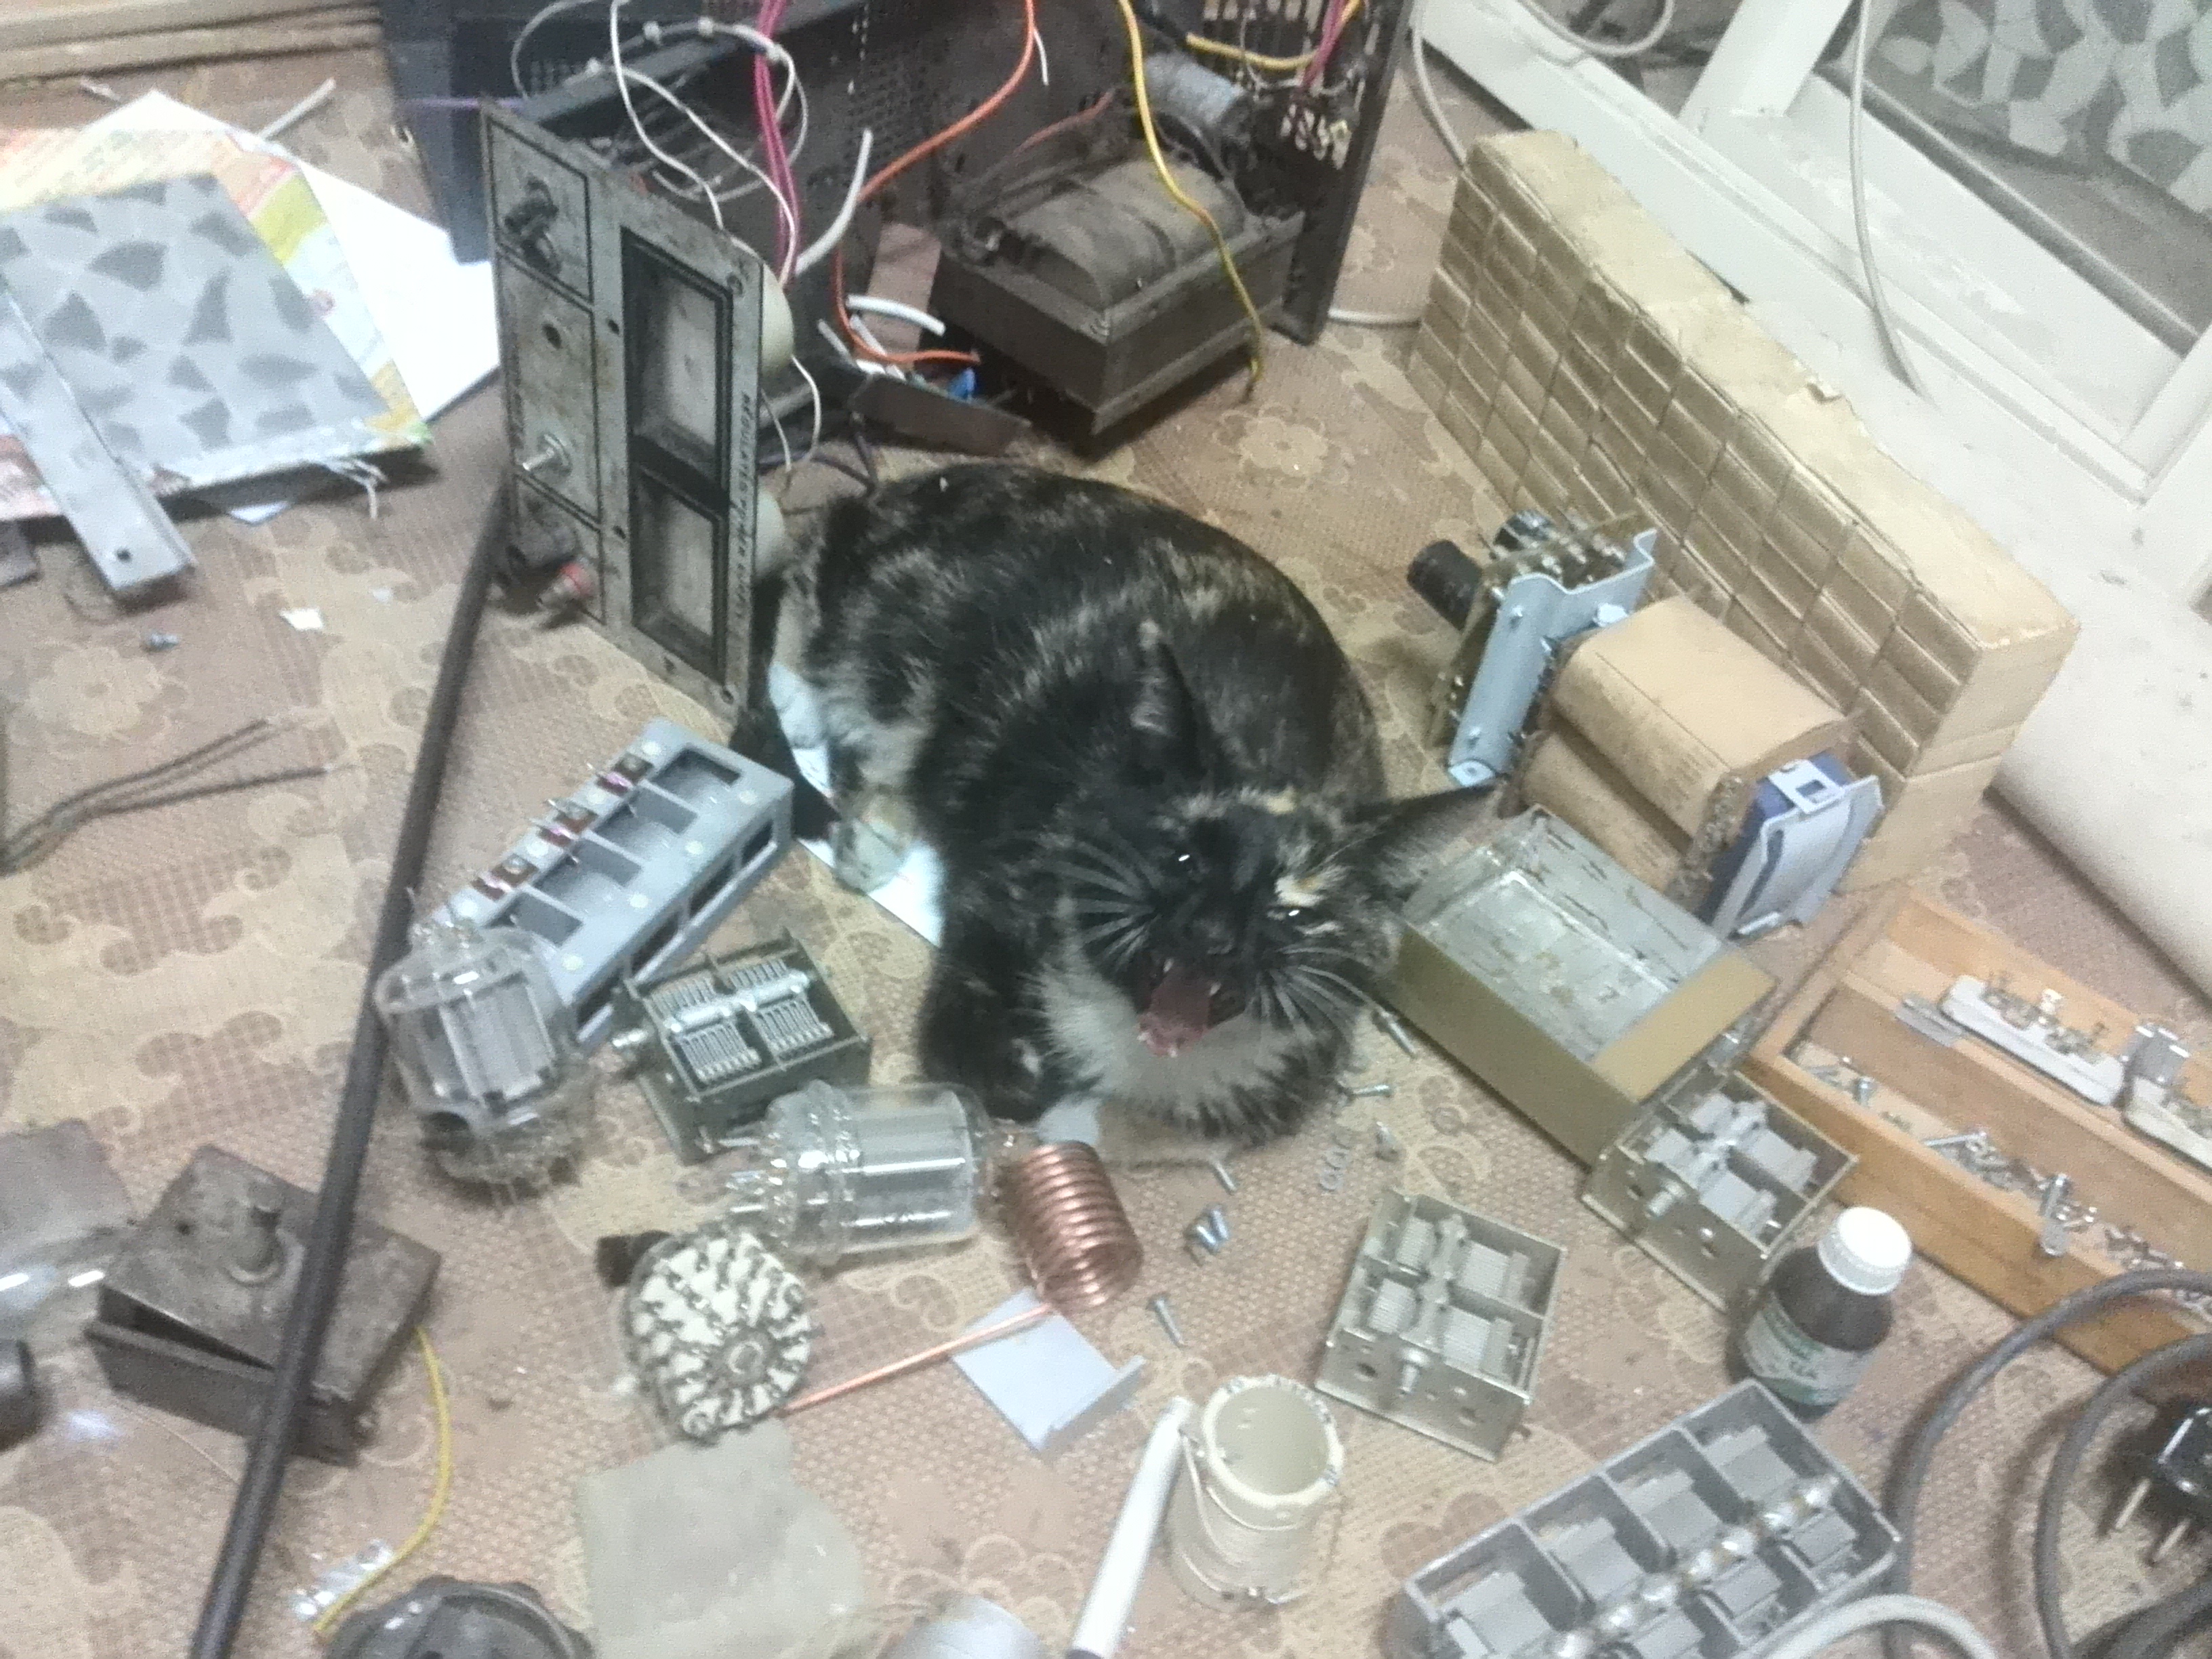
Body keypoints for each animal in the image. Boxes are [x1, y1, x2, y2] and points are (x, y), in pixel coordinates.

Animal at [740, 463, 1488, 1144]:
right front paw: (1034, 1081)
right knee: (802, 600)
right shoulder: (998, 893)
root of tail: (907, 486)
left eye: (1293, 909)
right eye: (1182, 858)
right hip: (896, 611)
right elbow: (982, 1070)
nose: (1211, 935)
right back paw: (805, 717)